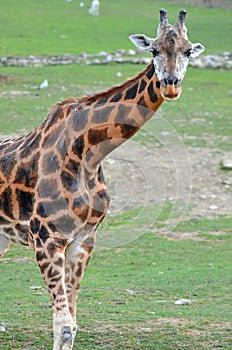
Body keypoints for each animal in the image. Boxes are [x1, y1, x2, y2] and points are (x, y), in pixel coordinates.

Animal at [0, 8, 204, 350]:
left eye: (188, 51)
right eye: (153, 50)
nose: (171, 84)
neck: (88, 154)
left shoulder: (83, 240)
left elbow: (69, 326)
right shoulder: (45, 239)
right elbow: (63, 325)